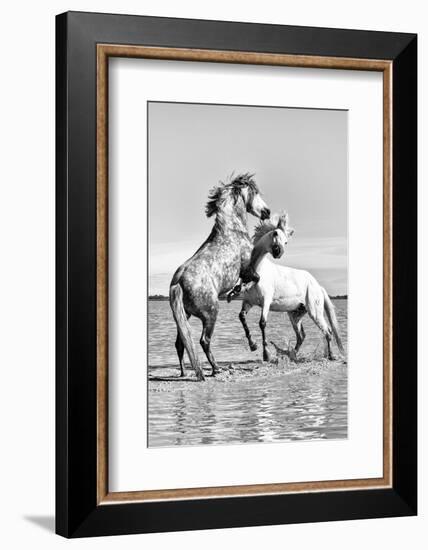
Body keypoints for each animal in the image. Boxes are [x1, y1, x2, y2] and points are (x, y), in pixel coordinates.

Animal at [169, 175, 270, 382]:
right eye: (255, 193)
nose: (267, 211)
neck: (231, 230)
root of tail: (178, 282)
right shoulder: (247, 269)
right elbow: (254, 279)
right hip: (211, 314)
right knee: (204, 341)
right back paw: (215, 369)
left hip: (185, 316)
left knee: (180, 343)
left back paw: (184, 372)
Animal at [237, 215, 344, 362]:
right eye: (275, 233)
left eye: (286, 242)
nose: (278, 252)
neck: (258, 272)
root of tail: (318, 287)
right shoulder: (248, 302)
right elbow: (241, 317)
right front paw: (253, 345)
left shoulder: (266, 301)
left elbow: (262, 323)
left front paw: (266, 354)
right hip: (295, 315)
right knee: (301, 336)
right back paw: (291, 355)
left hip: (314, 312)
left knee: (327, 331)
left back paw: (331, 355)